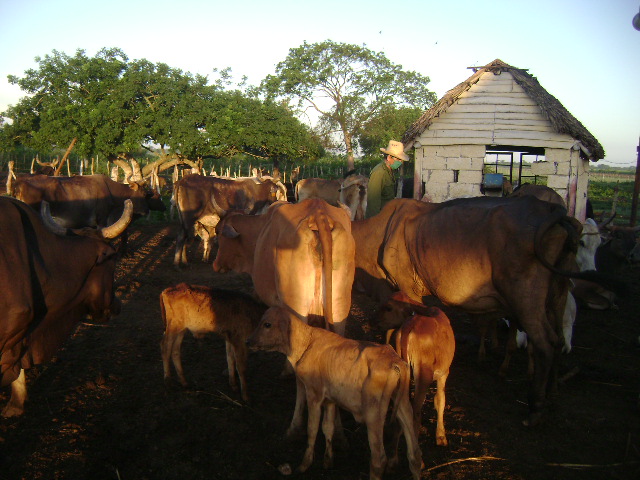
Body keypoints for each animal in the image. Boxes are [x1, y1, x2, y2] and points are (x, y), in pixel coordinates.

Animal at [214, 197, 356, 436]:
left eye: (218, 233)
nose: (215, 265)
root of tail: (318, 212)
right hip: (340, 310)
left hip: (296, 308)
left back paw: (295, 423)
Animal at [248, 308, 422, 480]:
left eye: (267, 324)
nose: (248, 342)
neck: (306, 344)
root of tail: (394, 361)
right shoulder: (330, 399)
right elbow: (327, 427)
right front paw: (328, 460)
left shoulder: (314, 394)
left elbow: (312, 429)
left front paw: (304, 465)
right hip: (403, 403)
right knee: (414, 455)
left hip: (374, 412)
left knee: (379, 459)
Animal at [350, 197, 620, 426]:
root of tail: (552, 210)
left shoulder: (408, 288)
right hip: (558, 293)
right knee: (560, 338)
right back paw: (552, 389)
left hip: (525, 295)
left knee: (546, 342)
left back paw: (535, 407)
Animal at [378, 290, 458, 448]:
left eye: (388, 307)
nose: (375, 321)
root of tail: (411, 325)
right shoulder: (444, 373)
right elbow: (440, 400)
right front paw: (441, 436)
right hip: (423, 375)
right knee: (415, 410)